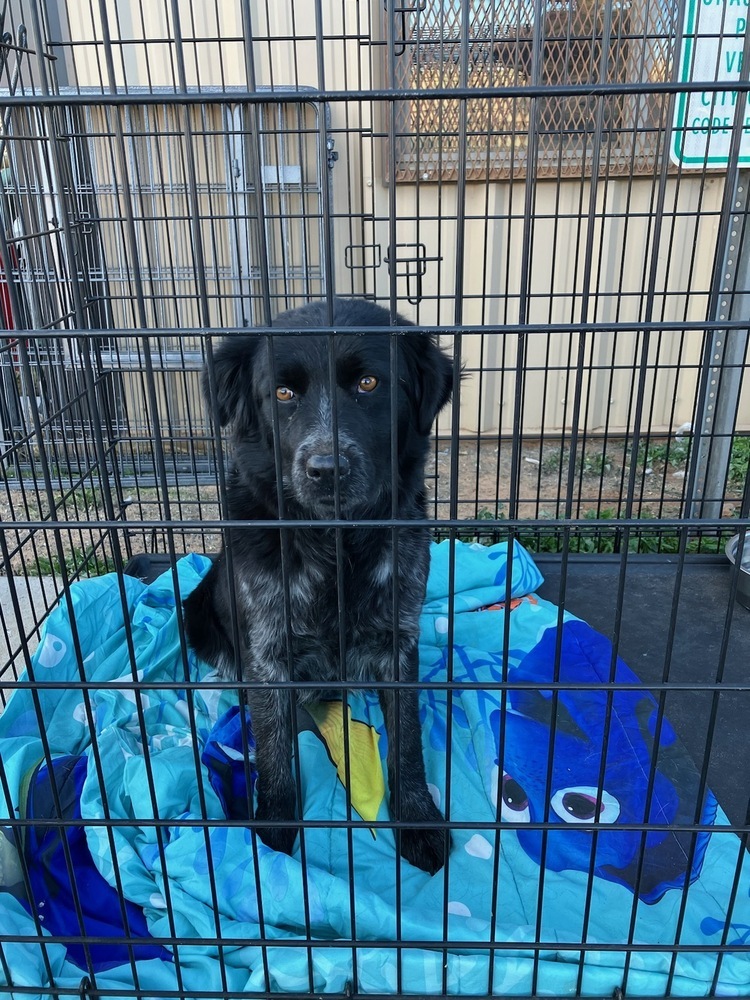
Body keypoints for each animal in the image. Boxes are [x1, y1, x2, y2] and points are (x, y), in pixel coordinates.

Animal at [185, 298, 456, 876]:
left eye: (369, 383)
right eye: (283, 393)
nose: (326, 469)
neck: (335, 545)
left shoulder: (397, 643)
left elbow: (407, 744)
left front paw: (418, 820)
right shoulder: (269, 654)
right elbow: (273, 752)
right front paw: (273, 836)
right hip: (196, 610)